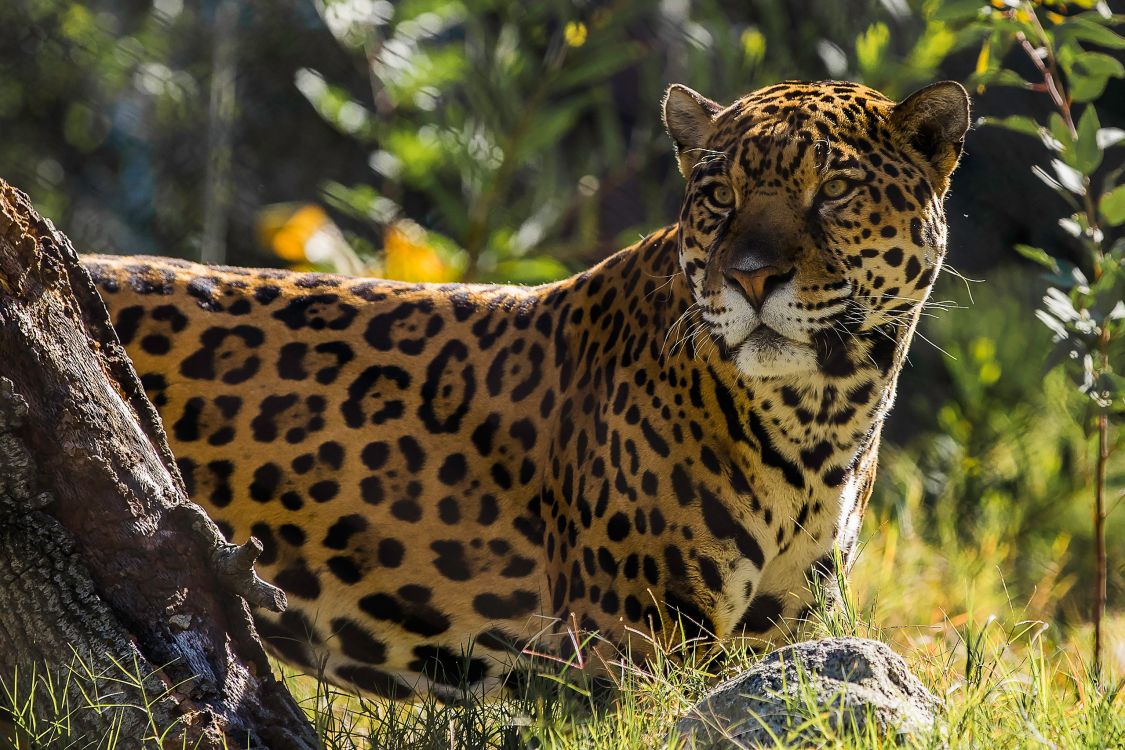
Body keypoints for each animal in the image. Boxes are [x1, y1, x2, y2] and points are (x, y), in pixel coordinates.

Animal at [81, 79, 969, 701]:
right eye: (720, 198)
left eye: (835, 192)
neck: (819, 419)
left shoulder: (774, 642)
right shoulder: (628, 646)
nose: (751, 278)